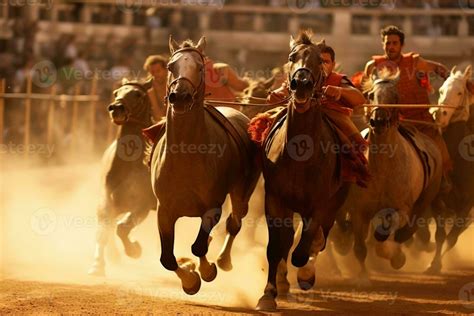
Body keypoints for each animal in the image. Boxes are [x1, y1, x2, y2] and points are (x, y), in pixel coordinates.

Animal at [149, 37, 260, 296]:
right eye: (170, 66)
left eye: (199, 67)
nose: (179, 96)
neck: (185, 156)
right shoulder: (164, 210)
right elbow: (167, 258)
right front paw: (189, 279)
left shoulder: (212, 207)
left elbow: (199, 246)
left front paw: (206, 271)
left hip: (243, 191)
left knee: (235, 222)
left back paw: (223, 259)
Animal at [256, 31, 348, 308]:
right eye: (291, 57)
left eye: (319, 60)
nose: (302, 83)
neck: (300, 155)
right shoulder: (274, 199)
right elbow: (277, 246)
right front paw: (268, 293)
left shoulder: (320, 203)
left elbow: (306, 244)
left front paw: (304, 272)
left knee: (319, 238)